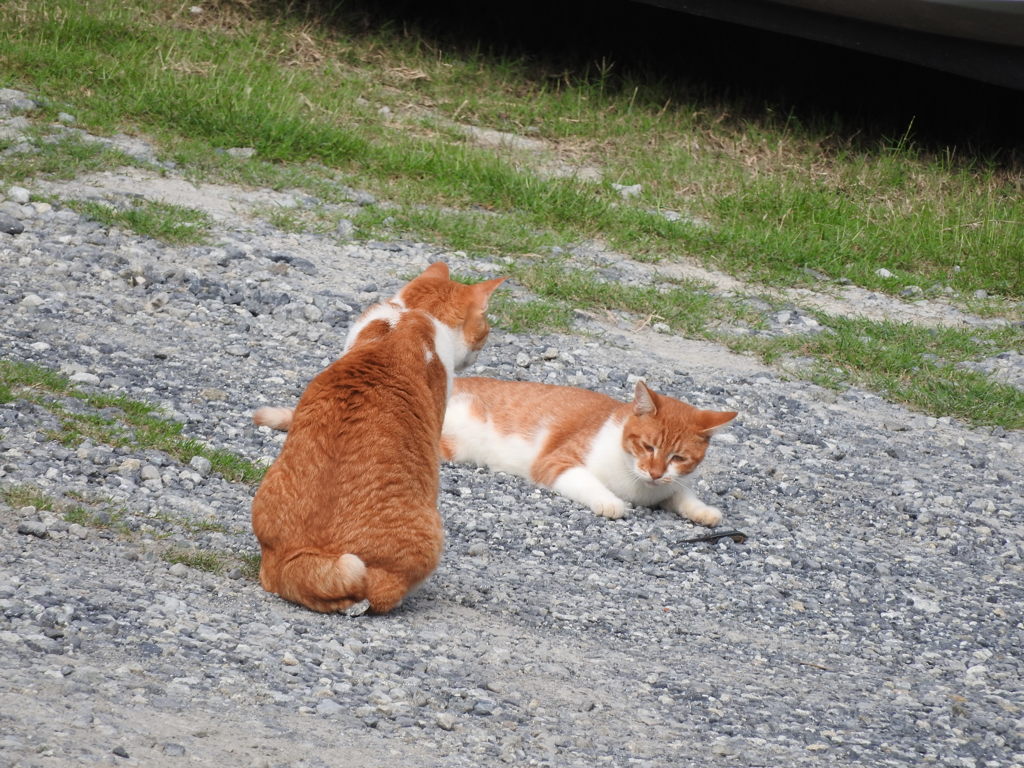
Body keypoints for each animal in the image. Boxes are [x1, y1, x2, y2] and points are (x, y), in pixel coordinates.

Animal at [256, 376, 737, 528]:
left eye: (678, 457)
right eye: (647, 445)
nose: (654, 471)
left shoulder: (669, 485)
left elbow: (682, 494)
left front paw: (703, 511)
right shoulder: (556, 463)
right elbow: (590, 484)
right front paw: (611, 502)